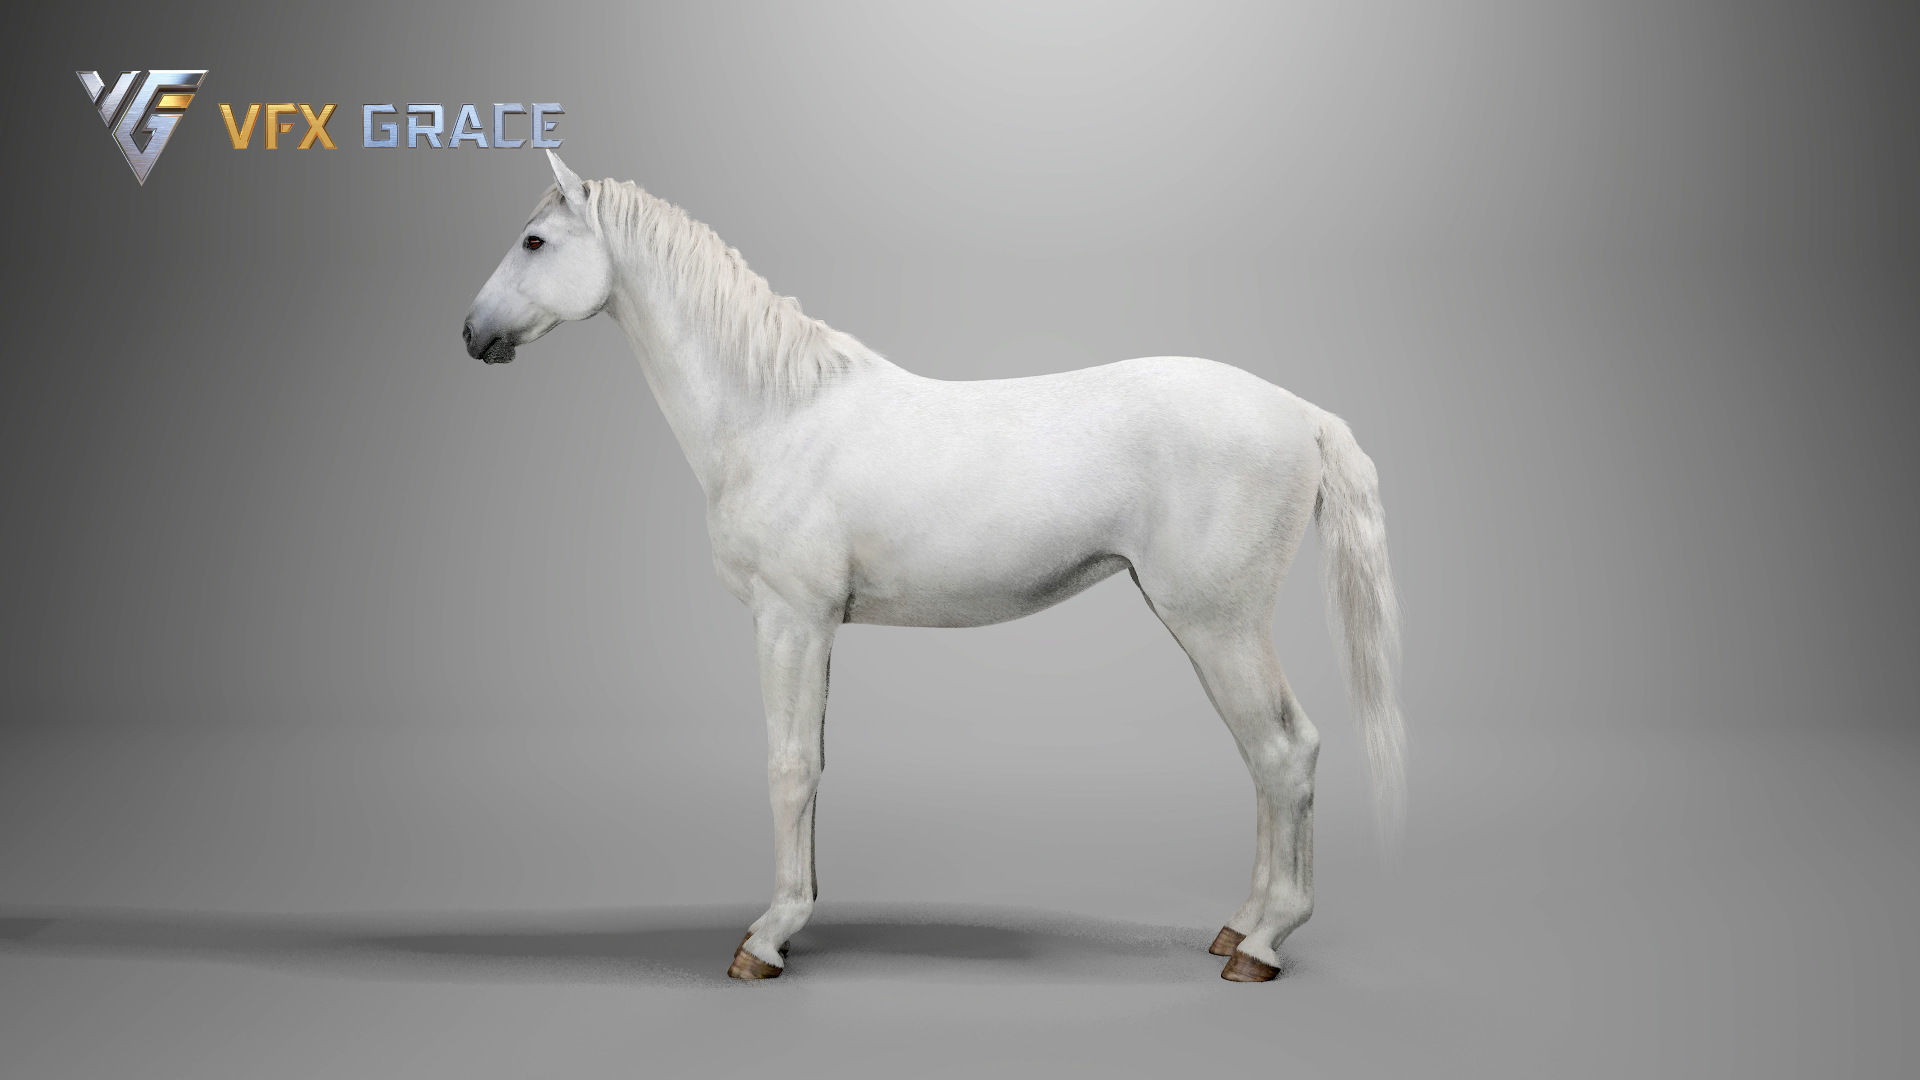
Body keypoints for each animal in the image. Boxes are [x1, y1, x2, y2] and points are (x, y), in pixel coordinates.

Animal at [461, 152, 1405, 983]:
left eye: (535, 241)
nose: (473, 333)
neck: (774, 414)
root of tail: (1301, 413)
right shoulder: (816, 628)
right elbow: (814, 762)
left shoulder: (789, 619)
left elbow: (788, 767)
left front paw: (767, 939)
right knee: (1265, 760)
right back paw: (1239, 928)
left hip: (1219, 623)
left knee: (1283, 752)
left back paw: (1265, 944)